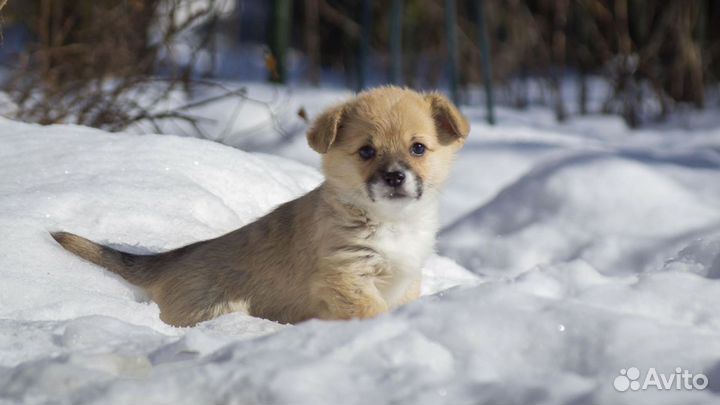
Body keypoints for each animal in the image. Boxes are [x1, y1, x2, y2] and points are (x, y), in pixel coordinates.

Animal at [50, 86, 470, 326]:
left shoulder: (404, 279)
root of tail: (171, 259)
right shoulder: (346, 276)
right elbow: (372, 312)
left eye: (418, 148)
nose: (395, 177)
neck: (392, 222)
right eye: (367, 151)